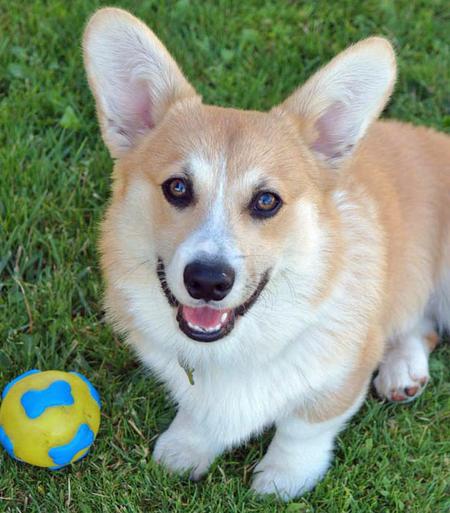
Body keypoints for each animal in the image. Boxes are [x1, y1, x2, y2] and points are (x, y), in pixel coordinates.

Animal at [81, 7, 450, 496]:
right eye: (177, 187)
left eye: (266, 201)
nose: (208, 281)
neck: (238, 346)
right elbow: (198, 412)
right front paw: (185, 449)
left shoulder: (343, 371)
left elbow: (304, 425)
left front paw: (283, 477)